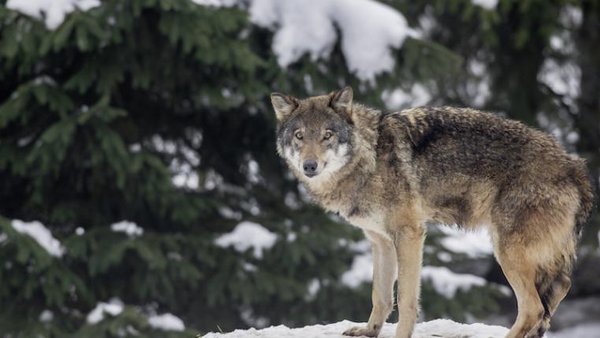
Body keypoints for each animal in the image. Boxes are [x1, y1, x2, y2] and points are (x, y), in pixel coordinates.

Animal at [272, 87, 596, 338]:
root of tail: (575, 166)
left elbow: (405, 299)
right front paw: (369, 330)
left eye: (327, 135)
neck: (370, 157)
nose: (309, 166)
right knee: (560, 289)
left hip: (508, 252)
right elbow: (380, 295)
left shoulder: (410, 235)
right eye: (299, 136)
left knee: (533, 308)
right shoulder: (381, 241)